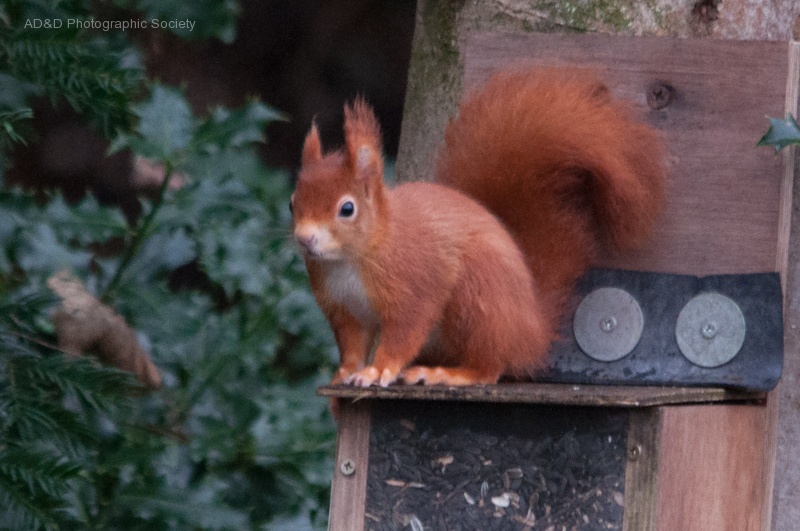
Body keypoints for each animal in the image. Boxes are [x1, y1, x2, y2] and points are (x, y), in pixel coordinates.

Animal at [291, 67, 666, 388]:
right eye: (293, 204)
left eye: (347, 209)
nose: (305, 239)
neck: (354, 257)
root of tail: (532, 327)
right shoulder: (344, 309)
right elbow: (352, 345)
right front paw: (345, 373)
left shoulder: (414, 285)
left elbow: (404, 332)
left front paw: (378, 370)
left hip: (479, 296)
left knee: (489, 367)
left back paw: (450, 374)